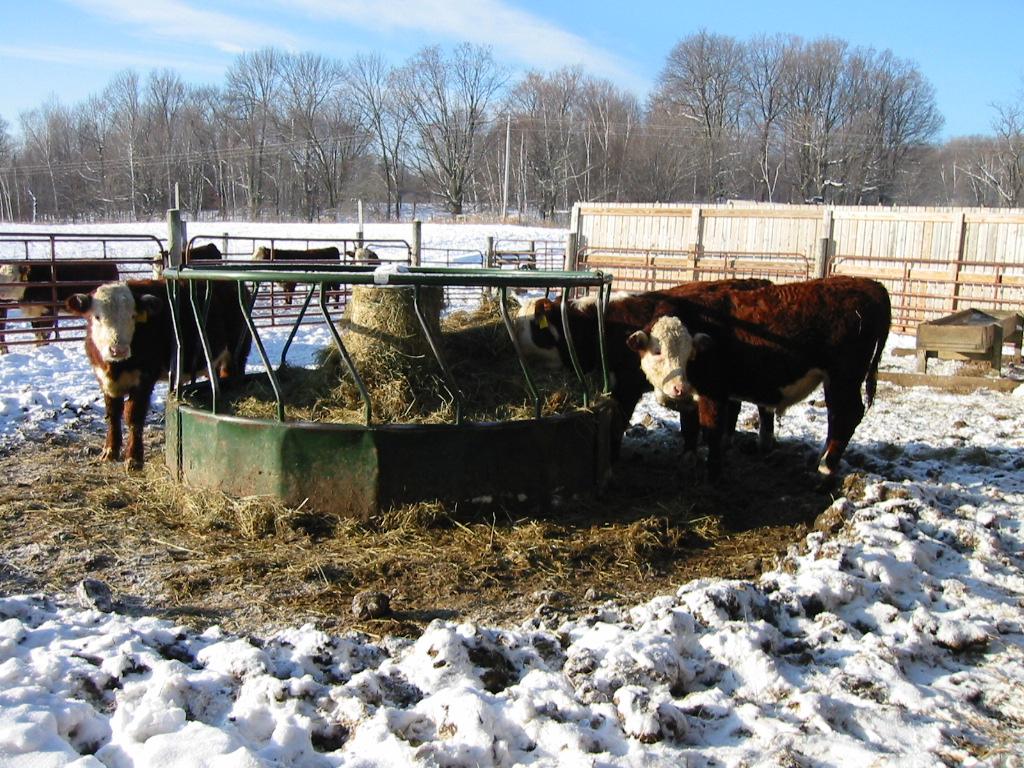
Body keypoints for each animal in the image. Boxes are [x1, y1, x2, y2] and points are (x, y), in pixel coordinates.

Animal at [66, 280, 253, 473]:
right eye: (97, 317)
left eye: (133, 316)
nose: (118, 350)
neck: (116, 367)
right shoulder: (105, 381)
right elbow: (112, 414)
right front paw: (110, 451)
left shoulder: (144, 380)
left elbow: (133, 416)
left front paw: (134, 458)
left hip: (236, 355)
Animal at [622, 274, 888, 481]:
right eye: (658, 351)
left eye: (691, 353)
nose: (679, 387)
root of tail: (870, 284)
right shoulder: (694, 397)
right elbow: (689, 428)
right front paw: (688, 462)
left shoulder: (714, 392)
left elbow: (712, 431)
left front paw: (713, 472)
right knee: (836, 418)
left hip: (844, 378)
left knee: (846, 415)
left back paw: (825, 468)